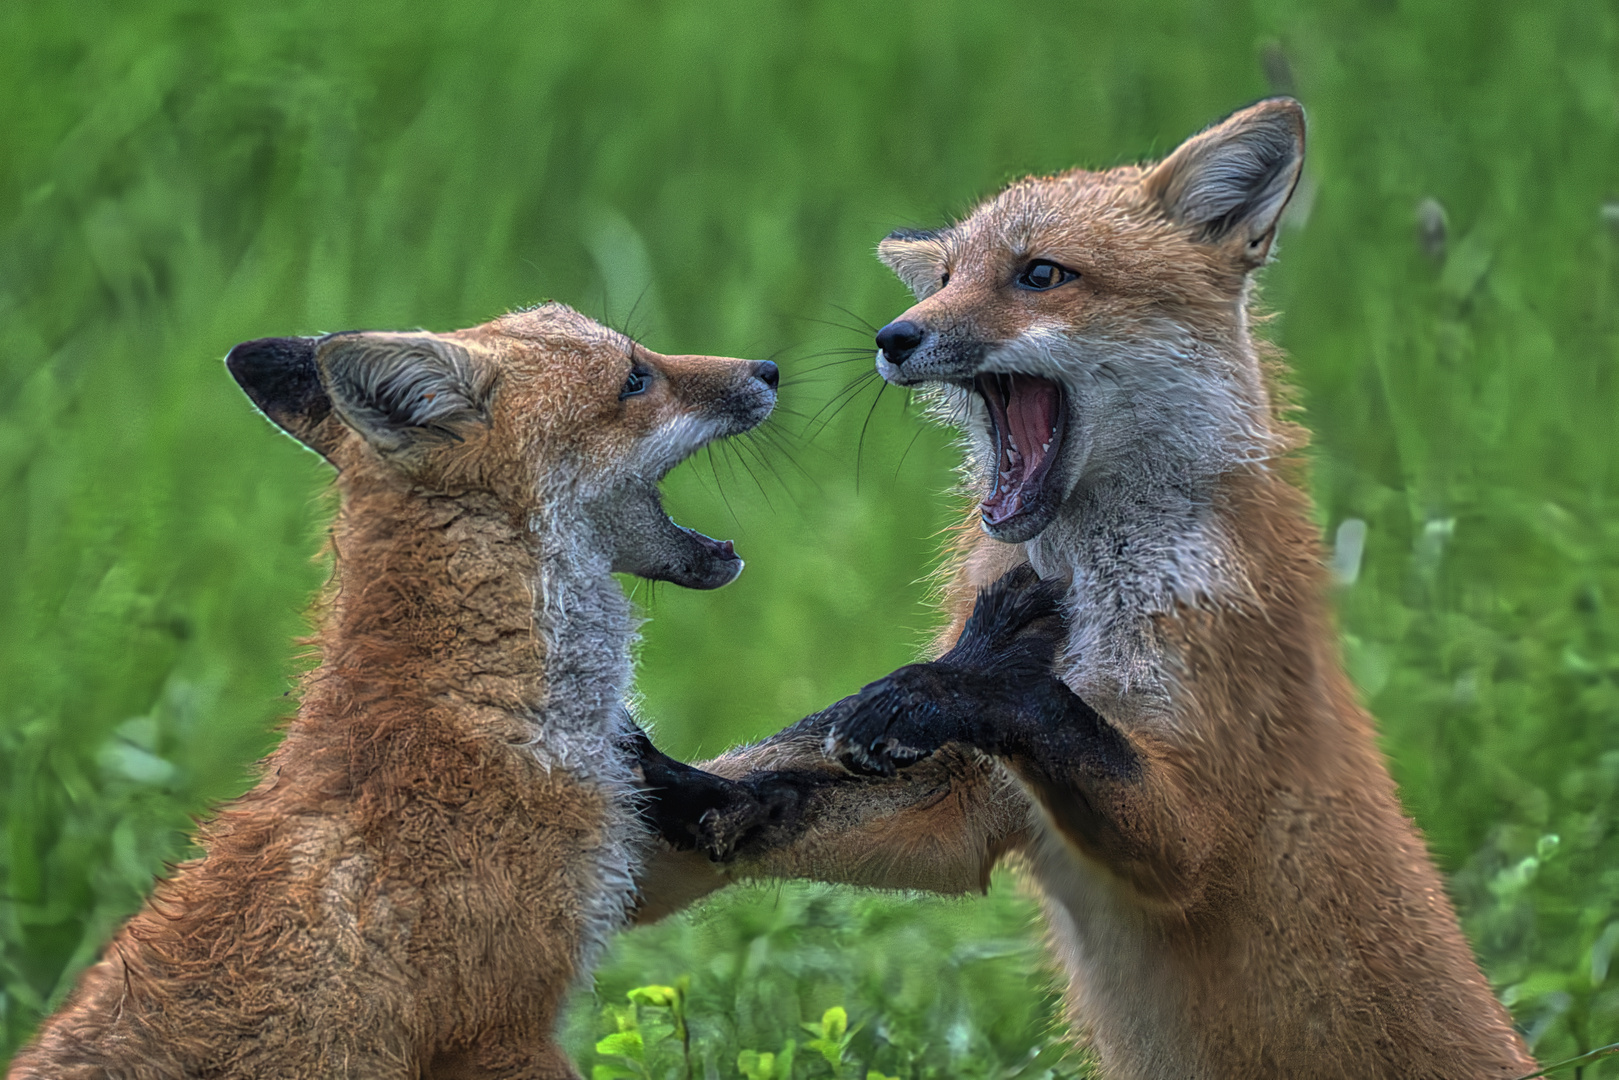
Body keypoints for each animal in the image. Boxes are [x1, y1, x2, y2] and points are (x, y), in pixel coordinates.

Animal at [637, 101, 1534, 1080]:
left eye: (1039, 275)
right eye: (944, 278)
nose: (893, 337)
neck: (1095, 595)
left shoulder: (1194, 832)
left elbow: (1044, 710)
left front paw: (950, 682)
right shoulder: (966, 811)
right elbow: (773, 802)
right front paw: (673, 787)